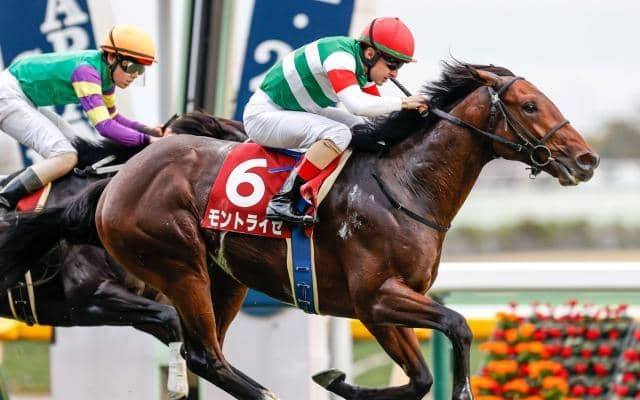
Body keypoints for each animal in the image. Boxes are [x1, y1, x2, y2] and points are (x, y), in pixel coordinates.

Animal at [0, 61, 599, 400]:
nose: (586, 160)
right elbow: (458, 326)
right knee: (204, 354)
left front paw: (339, 381)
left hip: (224, 280)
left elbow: (419, 379)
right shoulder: (377, 296)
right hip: (178, 264)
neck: (404, 184)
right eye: (529, 105)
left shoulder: (376, 307)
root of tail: (118, 182)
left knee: (205, 353)